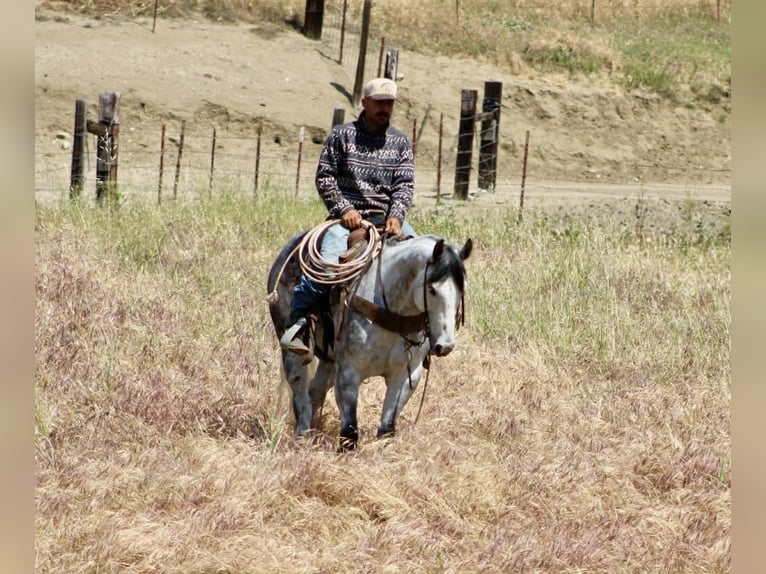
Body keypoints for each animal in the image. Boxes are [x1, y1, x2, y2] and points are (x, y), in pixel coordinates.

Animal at [267, 226, 472, 450]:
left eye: (462, 289)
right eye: (432, 289)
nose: (445, 345)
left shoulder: (406, 375)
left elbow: (387, 428)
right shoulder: (349, 371)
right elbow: (349, 432)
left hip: (330, 360)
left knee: (316, 391)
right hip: (291, 348)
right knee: (299, 388)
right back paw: (302, 435)